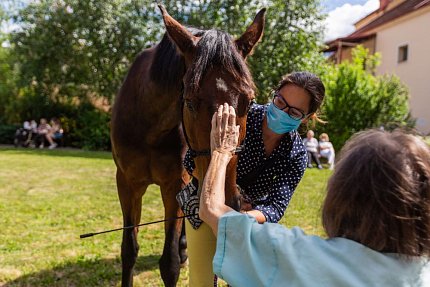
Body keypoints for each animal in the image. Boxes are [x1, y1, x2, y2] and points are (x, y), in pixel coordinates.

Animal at [110, 5, 266, 287]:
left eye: (249, 101)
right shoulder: (126, 183)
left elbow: (169, 262)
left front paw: (179, 251)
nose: (229, 201)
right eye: (190, 101)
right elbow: (129, 249)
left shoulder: (175, 183)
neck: (150, 127)